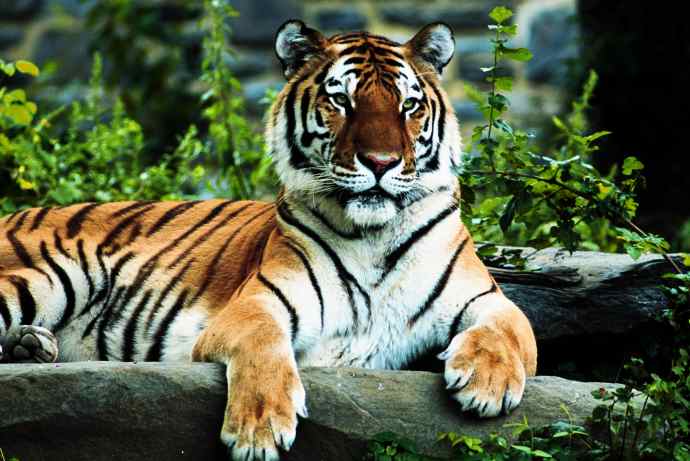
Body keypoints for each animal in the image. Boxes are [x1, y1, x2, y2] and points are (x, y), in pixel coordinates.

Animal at [0, 20, 537, 461]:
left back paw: (31, 346)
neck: (373, 236)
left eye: (409, 106)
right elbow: (264, 344)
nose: (381, 162)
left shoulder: (485, 297)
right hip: (59, 273)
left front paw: (487, 385)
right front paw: (258, 430)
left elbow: (510, 329)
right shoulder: (257, 303)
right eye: (341, 101)